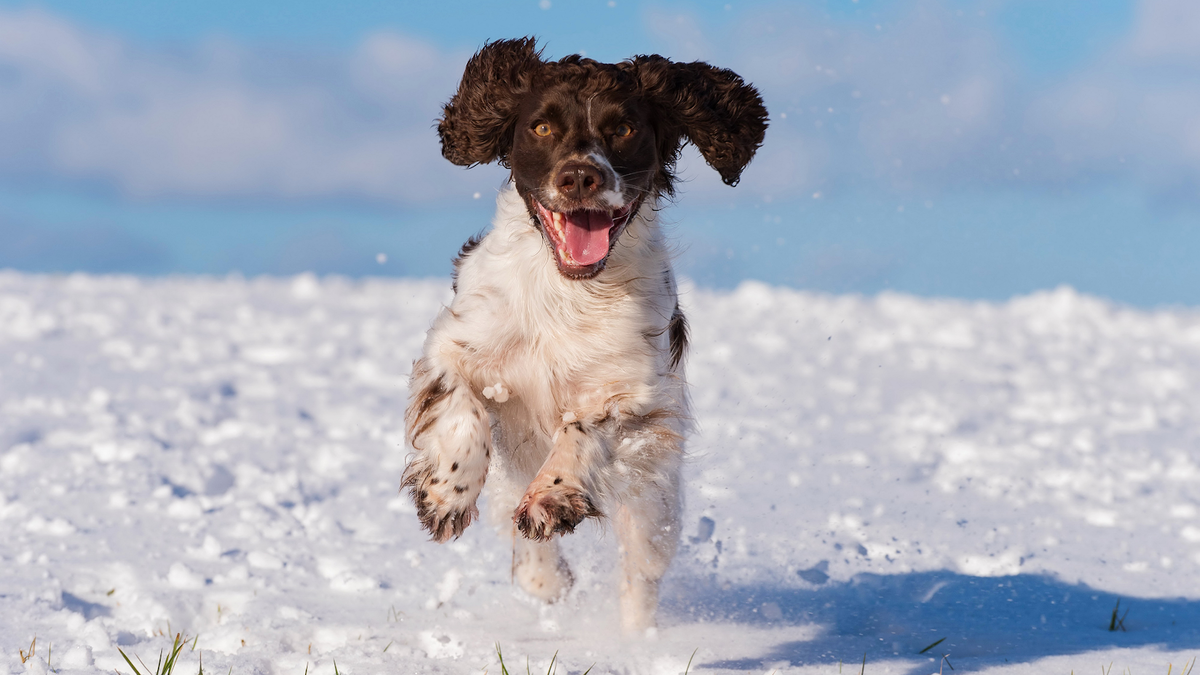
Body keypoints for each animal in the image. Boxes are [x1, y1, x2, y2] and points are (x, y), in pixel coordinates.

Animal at [398, 36, 763, 629]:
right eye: (542, 127)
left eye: (625, 128)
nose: (579, 177)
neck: (568, 291)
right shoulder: (456, 344)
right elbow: (461, 412)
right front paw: (445, 496)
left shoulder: (634, 390)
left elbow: (583, 429)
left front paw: (553, 496)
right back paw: (543, 578)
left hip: (654, 501)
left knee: (640, 572)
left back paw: (637, 638)